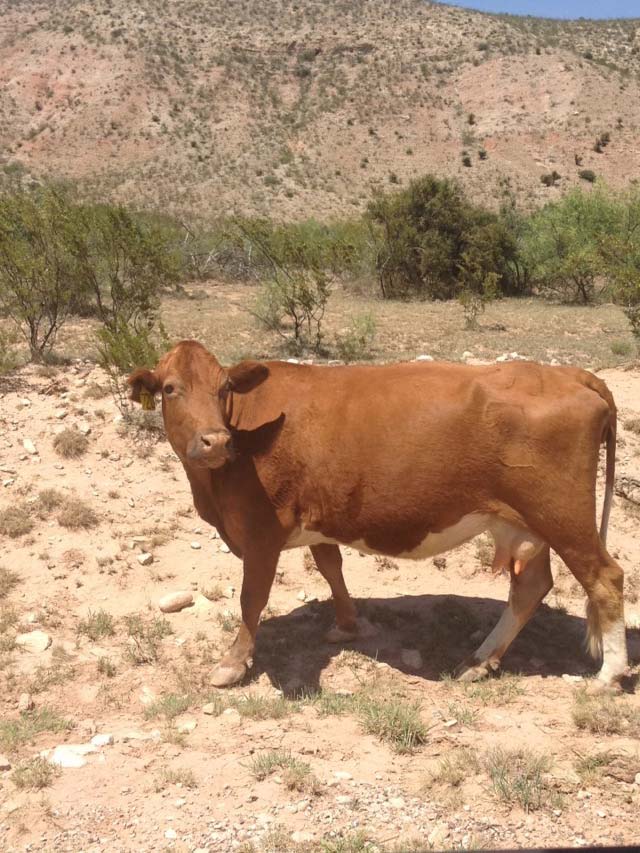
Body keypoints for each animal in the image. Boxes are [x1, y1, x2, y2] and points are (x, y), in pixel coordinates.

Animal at [127, 342, 628, 688]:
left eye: (223, 388)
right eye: (170, 389)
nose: (215, 441)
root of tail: (569, 374)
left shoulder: (261, 532)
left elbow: (252, 599)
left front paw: (233, 663)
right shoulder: (319, 518)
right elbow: (331, 568)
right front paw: (347, 626)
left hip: (562, 514)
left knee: (605, 578)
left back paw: (608, 676)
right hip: (526, 522)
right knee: (531, 588)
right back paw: (478, 662)